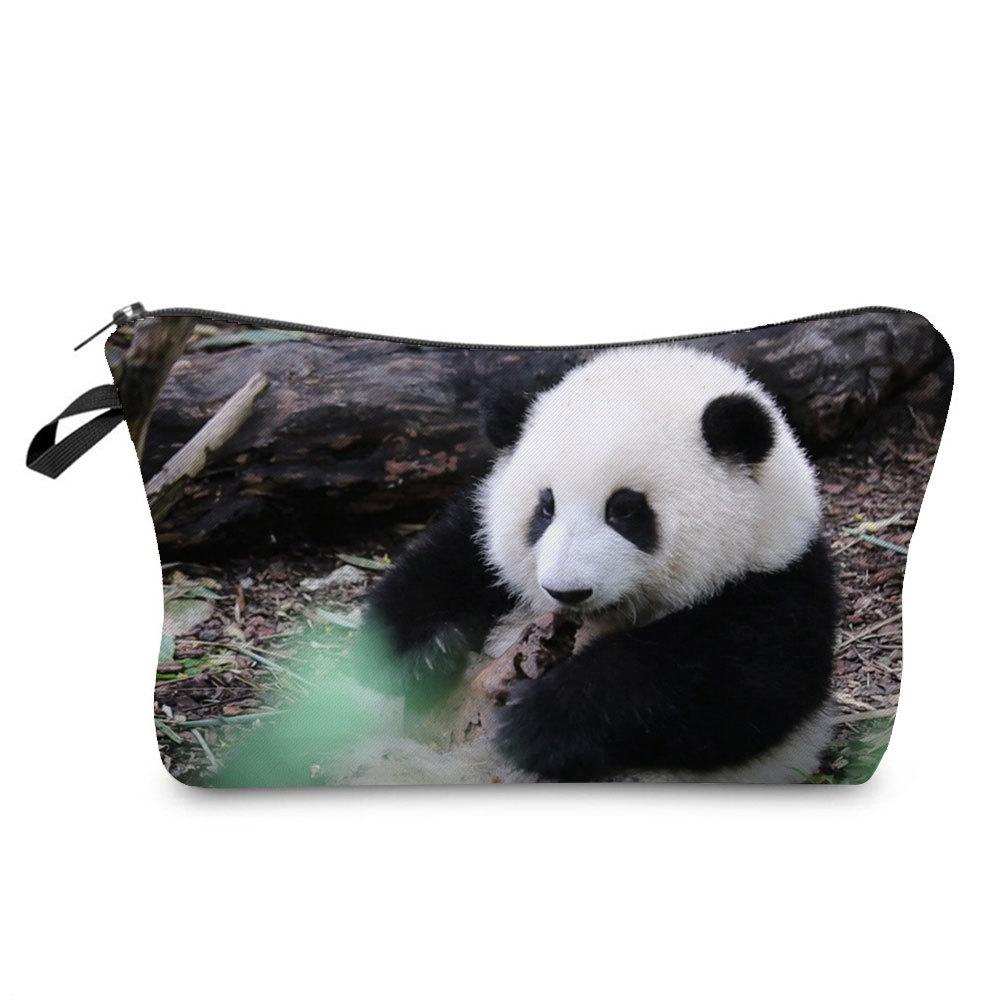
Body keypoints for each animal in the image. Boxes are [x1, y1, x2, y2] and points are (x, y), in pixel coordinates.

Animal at [361, 344, 838, 783]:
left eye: (624, 510)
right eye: (546, 507)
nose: (566, 591)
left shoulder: (781, 580)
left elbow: (731, 687)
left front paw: (539, 719)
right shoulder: (475, 529)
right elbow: (440, 566)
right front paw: (425, 655)